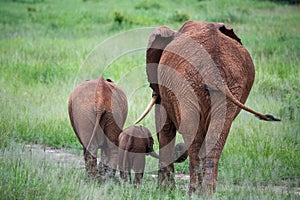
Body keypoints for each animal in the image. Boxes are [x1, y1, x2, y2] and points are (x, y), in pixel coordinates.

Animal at [135, 21, 280, 195]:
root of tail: (213, 70)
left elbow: (164, 126)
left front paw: (165, 190)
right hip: (227, 86)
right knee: (217, 135)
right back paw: (206, 193)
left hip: (186, 84)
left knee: (194, 138)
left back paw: (193, 192)